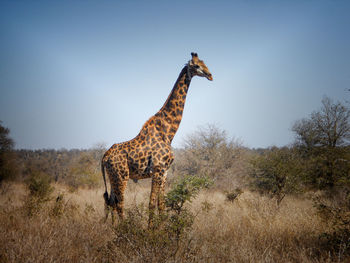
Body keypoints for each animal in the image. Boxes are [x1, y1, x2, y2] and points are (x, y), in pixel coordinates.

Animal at [100, 52, 212, 227]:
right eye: (196, 65)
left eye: (204, 63)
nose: (210, 75)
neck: (168, 132)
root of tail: (104, 157)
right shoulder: (158, 169)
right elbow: (151, 203)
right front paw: (151, 230)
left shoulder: (165, 172)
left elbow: (161, 204)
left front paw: (162, 228)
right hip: (121, 176)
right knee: (119, 204)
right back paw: (125, 229)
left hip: (113, 177)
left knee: (110, 202)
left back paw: (113, 228)